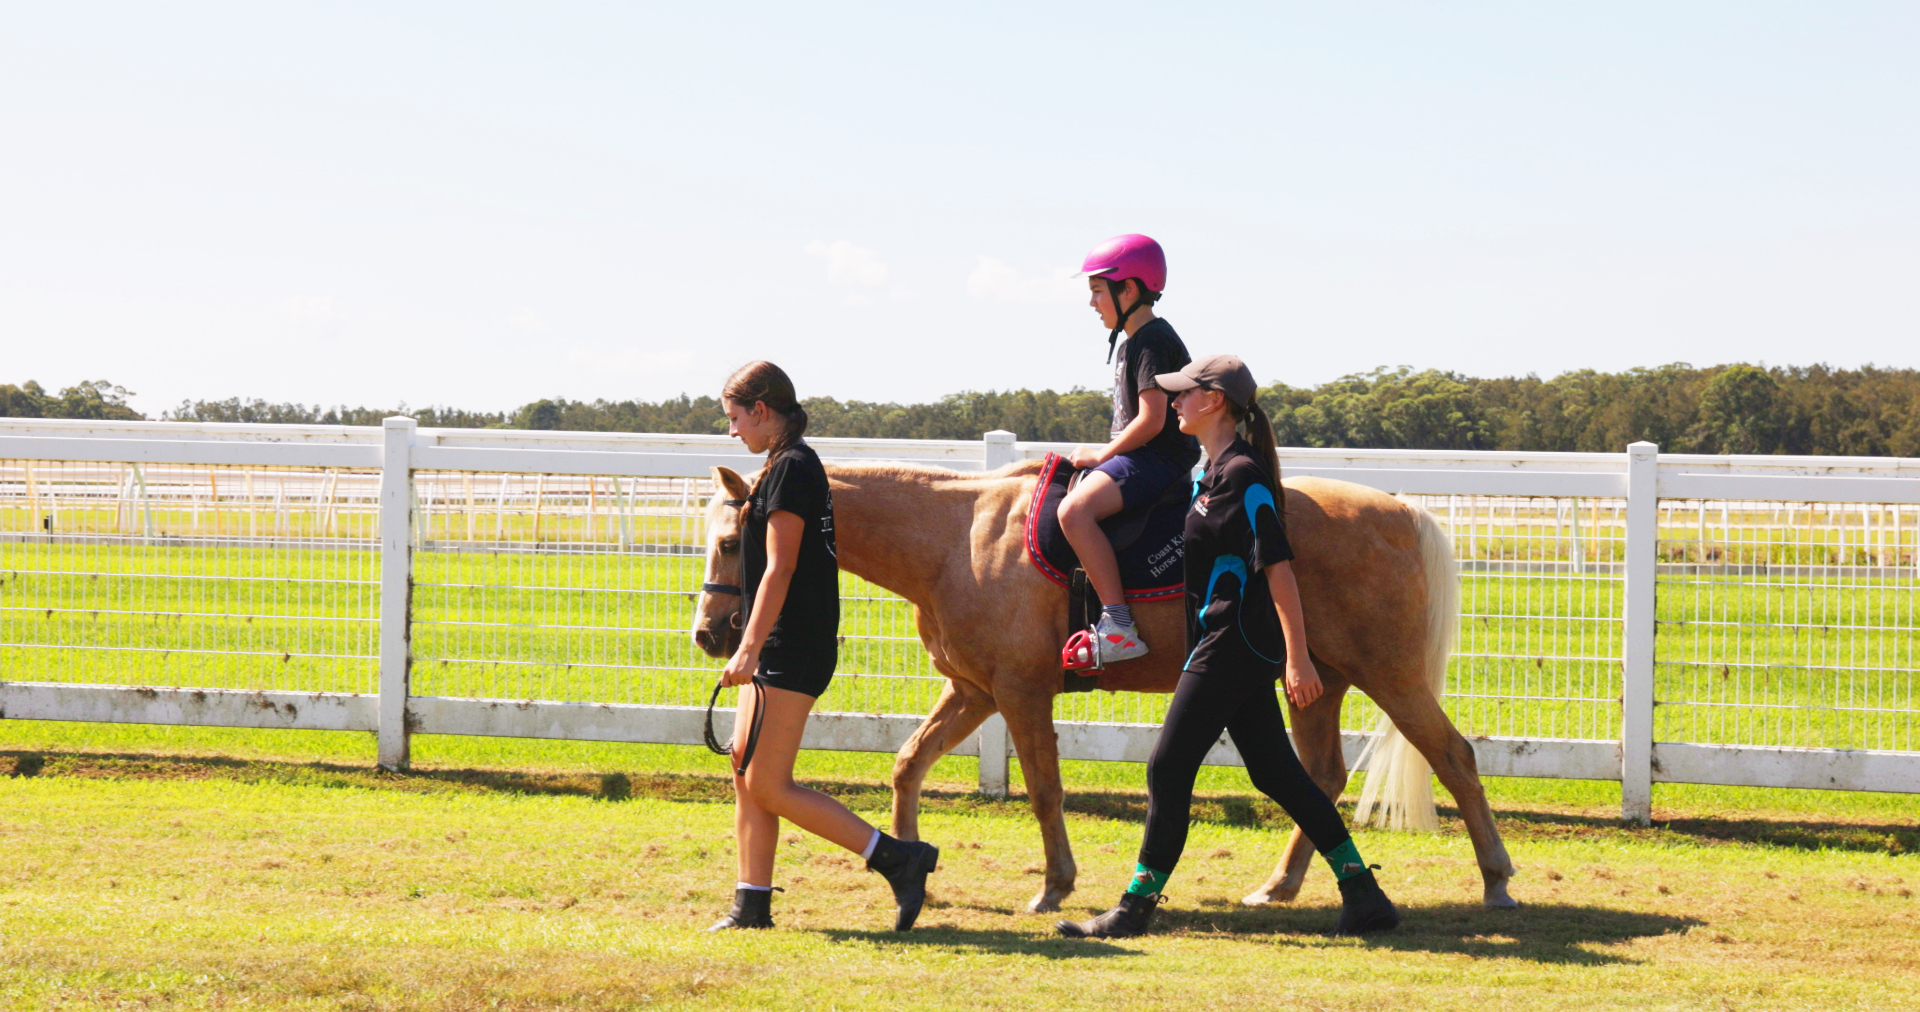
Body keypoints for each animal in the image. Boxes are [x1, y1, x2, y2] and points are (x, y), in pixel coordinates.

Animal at [691, 458, 1518, 914]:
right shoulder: (974, 693)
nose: (709, 634)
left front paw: (1055, 885)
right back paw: (1281, 885)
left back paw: (1497, 879)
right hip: (1318, 680)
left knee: (1454, 757)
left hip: (1389, 675)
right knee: (1320, 776)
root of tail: (1401, 510)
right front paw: (909, 863)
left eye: (731, 541)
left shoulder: (1018, 694)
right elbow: (908, 764)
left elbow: (1043, 790)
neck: (958, 536)